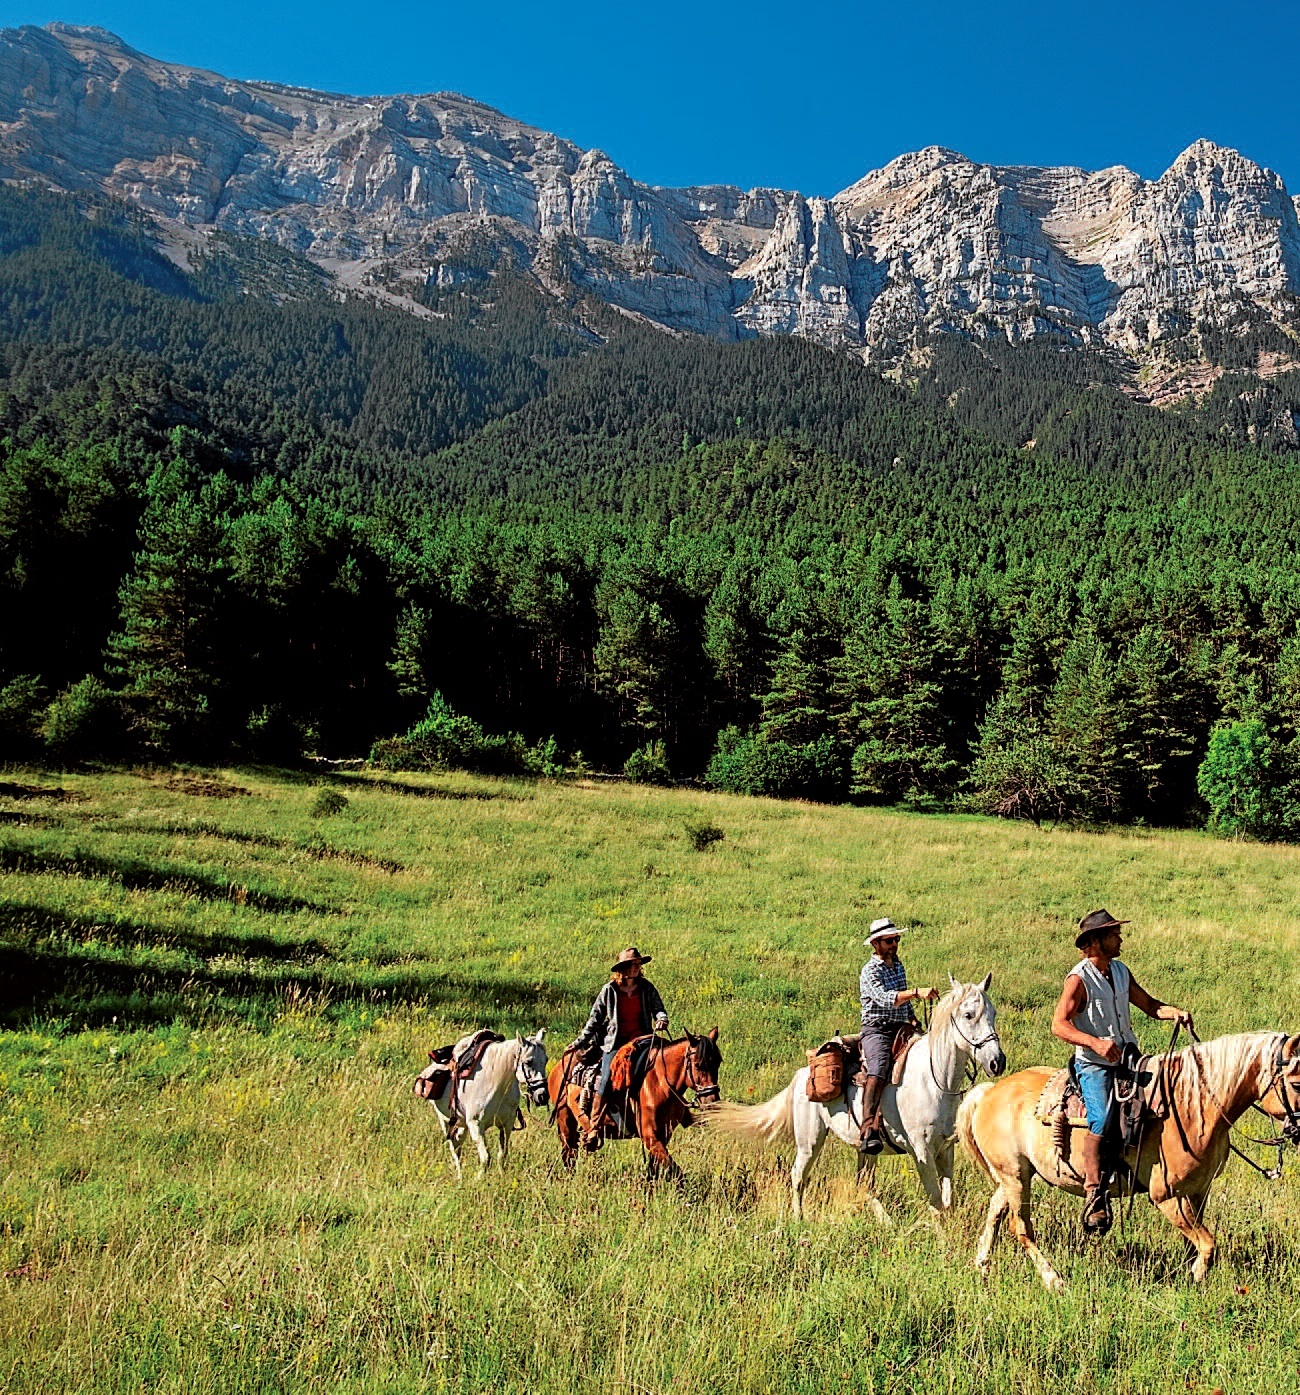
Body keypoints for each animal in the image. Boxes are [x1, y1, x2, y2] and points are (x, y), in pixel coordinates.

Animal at [431, 1029, 550, 1179]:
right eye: (528, 1062)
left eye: (546, 1060)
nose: (542, 1096)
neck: (497, 1084)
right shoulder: (476, 1125)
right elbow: (486, 1158)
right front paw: (479, 1179)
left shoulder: (506, 1125)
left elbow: (502, 1155)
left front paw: (501, 1176)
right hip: (446, 1121)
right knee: (454, 1148)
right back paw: (460, 1177)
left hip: (462, 1123)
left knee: (458, 1142)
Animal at [547, 1028, 722, 1179]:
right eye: (698, 1064)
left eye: (718, 1062)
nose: (712, 1101)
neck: (660, 1082)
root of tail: (557, 1068)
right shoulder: (650, 1136)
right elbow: (675, 1171)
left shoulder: (664, 1134)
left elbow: (655, 1169)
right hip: (565, 1121)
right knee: (569, 1154)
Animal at [713, 976, 1005, 1221]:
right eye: (968, 1014)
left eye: (992, 1014)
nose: (997, 1062)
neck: (934, 1081)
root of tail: (801, 1075)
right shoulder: (921, 1151)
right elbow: (935, 1201)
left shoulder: (946, 1149)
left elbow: (948, 1198)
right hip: (810, 1141)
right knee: (798, 1176)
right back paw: (798, 1220)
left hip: (865, 1148)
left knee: (864, 1184)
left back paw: (886, 1224)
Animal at [957, 1030, 1300, 1291]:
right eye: (1296, 1083)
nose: (1298, 1129)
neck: (1191, 1109)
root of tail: (990, 1091)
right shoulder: (1167, 1197)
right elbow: (1208, 1245)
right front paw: (1195, 1279)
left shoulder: (1198, 1192)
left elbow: (1196, 1242)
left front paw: (1189, 1272)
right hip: (1015, 1176)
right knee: (1021, 1227)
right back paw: (1054, 1280)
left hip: (1015, 1175)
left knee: (996, 1211)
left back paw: (982, 1264)